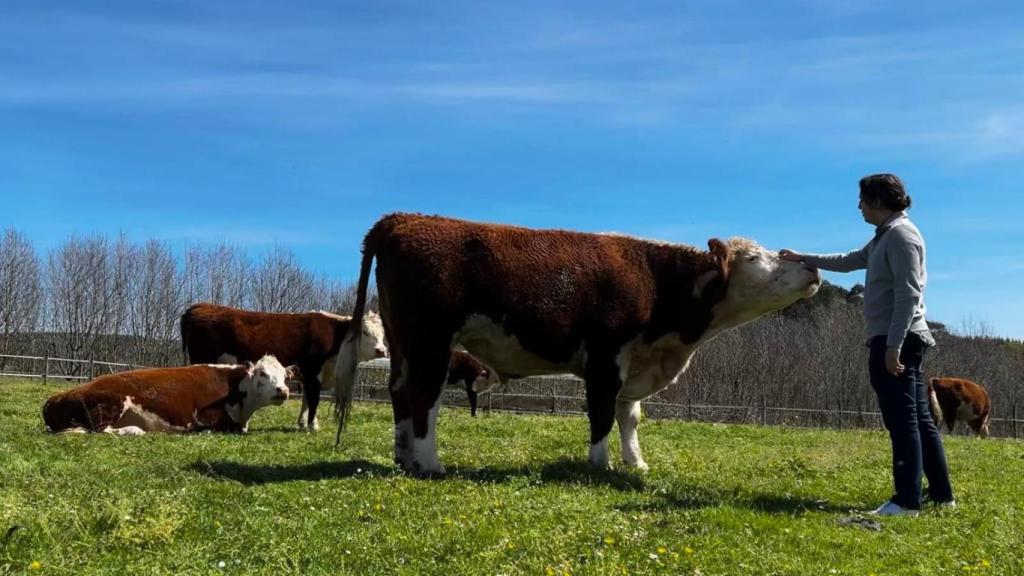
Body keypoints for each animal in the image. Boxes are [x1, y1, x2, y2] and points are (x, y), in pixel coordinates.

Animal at [42, 356, 295, 434]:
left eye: (284, 376)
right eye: (262, 373)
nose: (283, 391)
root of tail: (54, 398)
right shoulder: (205, 417)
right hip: (111, 403)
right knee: (103, 430)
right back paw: (135, 430)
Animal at [180, 303, 387, 432]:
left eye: (383, 333)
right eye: (365, 332)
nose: (382, 350)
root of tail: (199, 306)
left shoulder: (307, 376)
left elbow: (306, 400)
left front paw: (303, 423)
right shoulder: (313, 373)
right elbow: (314, 400)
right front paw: (313, 426)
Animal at [333, 213, 821, 476]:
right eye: (754, 257)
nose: (812, 266)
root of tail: (405, 218)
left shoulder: (634, 362)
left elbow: (630, 417)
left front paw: (636, 463)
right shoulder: (606, 357)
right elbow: (602, 414)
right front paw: (600, 464)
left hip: (403, 342)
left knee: (400, 392)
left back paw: (404, 457)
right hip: (431, 340)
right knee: (424, 397)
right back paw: (430, 463)